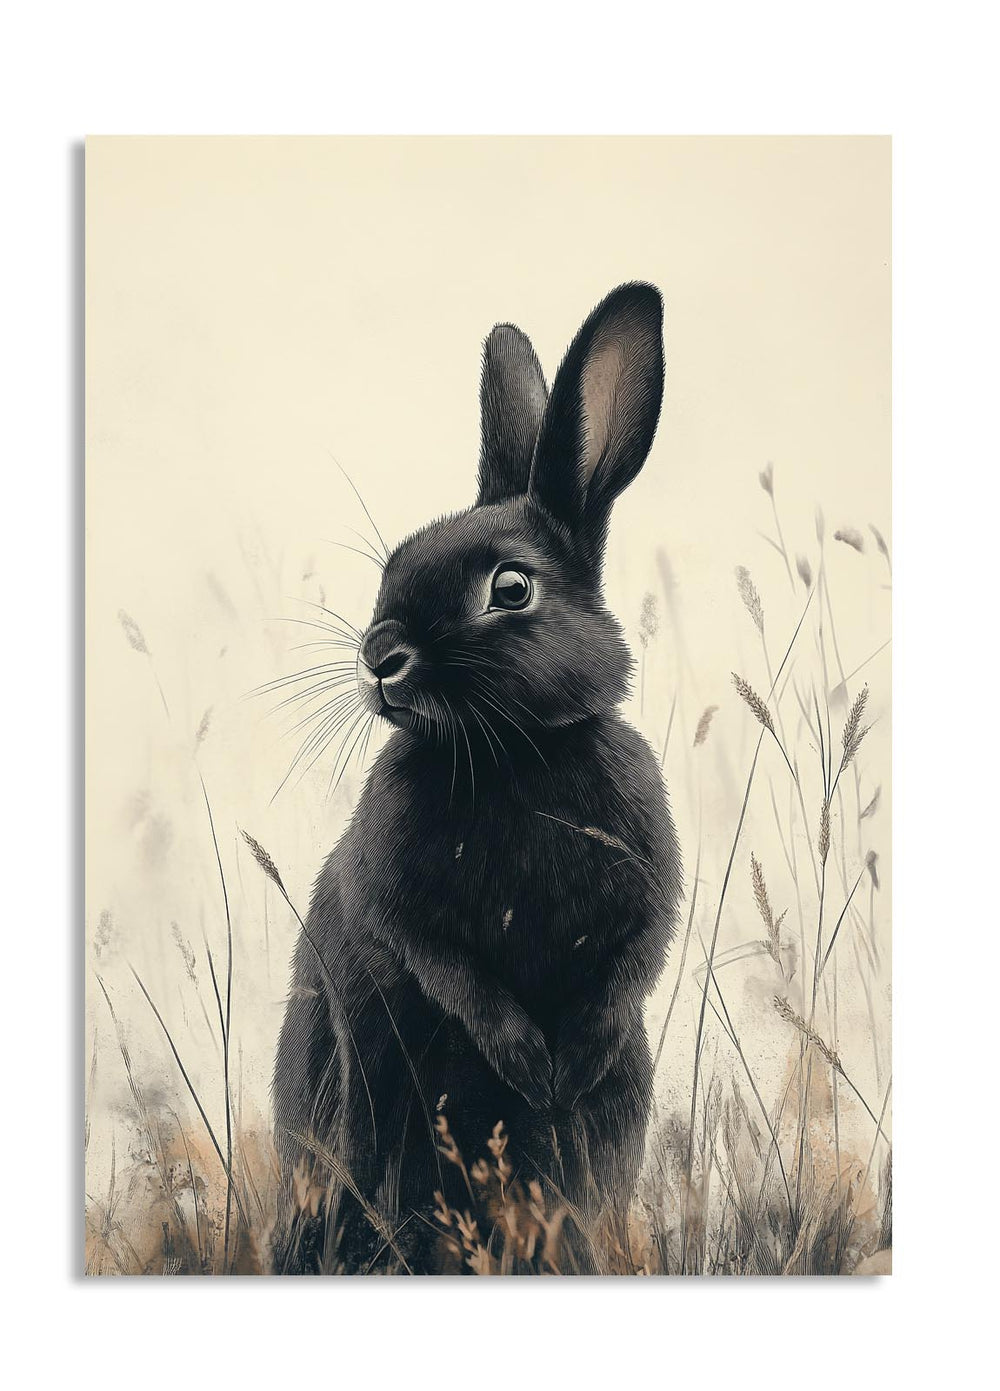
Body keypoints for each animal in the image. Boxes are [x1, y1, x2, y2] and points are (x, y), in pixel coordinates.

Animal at [272, 283, 682, 1274]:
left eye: (511, 588)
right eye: (391, 568)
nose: (381, 654)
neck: (512, 754)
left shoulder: (649, 888)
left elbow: (631, 965)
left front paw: (567, 1067)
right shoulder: (397, 897)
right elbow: (452, 971)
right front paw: (529, 1064)